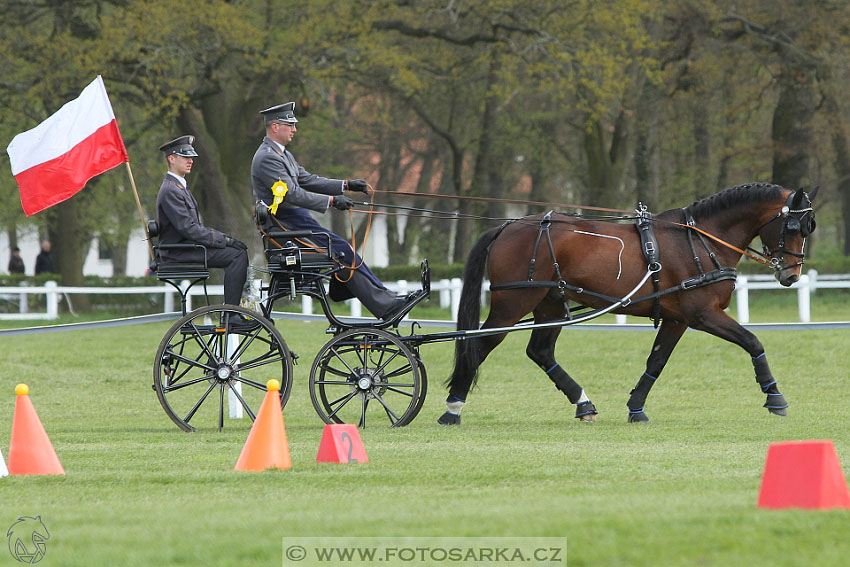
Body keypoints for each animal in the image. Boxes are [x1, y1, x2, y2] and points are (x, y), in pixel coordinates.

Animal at [438, 184, 816, 424]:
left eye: (808, 227)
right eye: (793, 226)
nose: (791, 275)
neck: (699, 241)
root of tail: (509, 226)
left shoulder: (678, 319)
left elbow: (657, 361)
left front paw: (636, 407)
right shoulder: (703, 314)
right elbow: (753, 341)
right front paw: (774, 396)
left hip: (550, 303)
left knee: (540, 351)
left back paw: (583, 404)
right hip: (512, 303)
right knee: (479, 344)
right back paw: (452, 408)